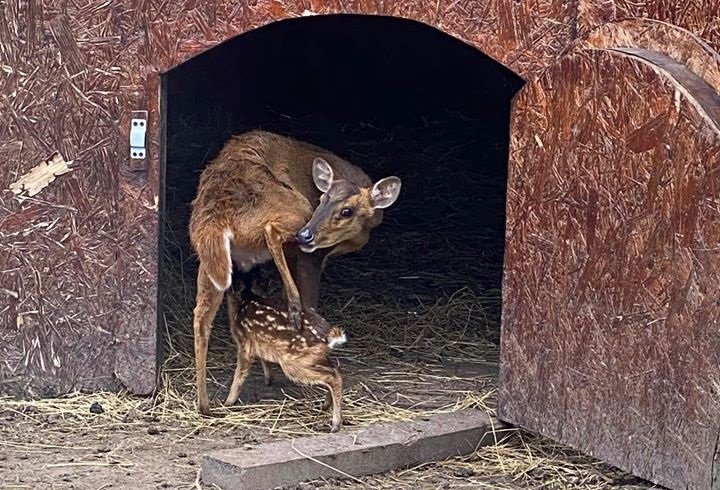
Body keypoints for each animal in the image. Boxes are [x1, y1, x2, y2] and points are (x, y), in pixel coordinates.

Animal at [189, 130, 401, 415]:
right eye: (320, 200)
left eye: (347, 210)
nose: (306, 234)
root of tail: (216, 218)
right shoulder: (309, 255)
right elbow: (310, 294)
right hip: (295, 209)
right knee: (272, 231)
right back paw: (294, 310)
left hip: (212, 259)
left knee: (201, 316)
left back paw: (205, 404)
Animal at [225, 275, 347, 432]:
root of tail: (329, 336)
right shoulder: (260, 344)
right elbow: (264, 360)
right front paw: (268, 380)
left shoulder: (245, 343)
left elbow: (239, 375)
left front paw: (228, 402)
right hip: (313, 357)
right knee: (336, 370)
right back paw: (326, 406)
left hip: (294, 361)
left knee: (333, 377)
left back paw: (335, 424)